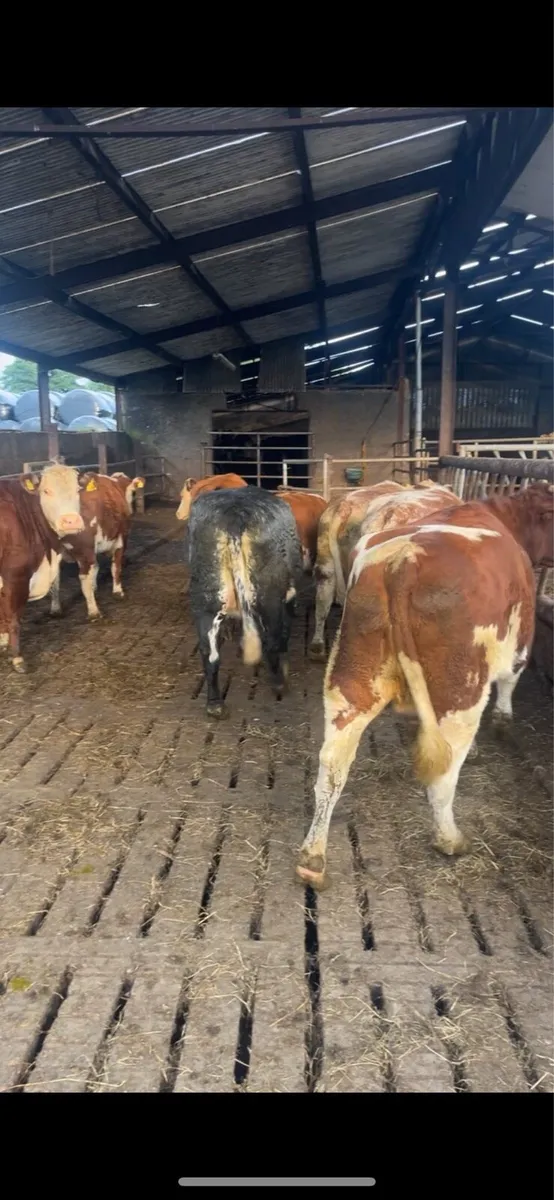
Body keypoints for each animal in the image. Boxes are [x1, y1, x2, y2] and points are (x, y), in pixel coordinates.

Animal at [0, 463, 85, 672]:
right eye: (46, 491)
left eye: (77, 490)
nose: (70, 521)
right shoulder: (16, 576)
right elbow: (13, 617)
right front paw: (17, 658)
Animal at [48, 472, 134, 621]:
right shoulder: (119, 540)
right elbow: (115, 567)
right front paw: (118, 591)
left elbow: (101, 568)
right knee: (86, 575)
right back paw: (94, 607)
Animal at [187, 488, 304, 718]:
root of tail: (234, 513)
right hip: (268, 598)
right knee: (271, 642)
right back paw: (280, 685)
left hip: (207, 599)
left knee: (209, 652)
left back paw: (215, 705)